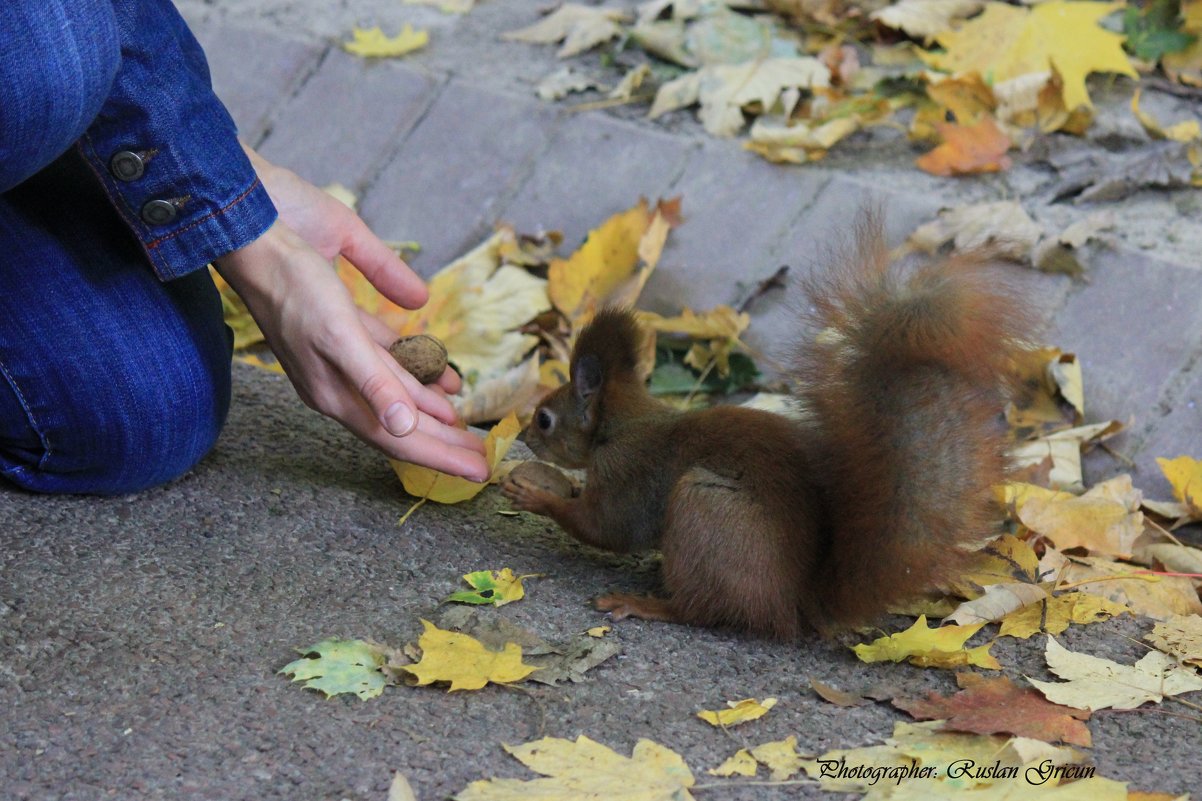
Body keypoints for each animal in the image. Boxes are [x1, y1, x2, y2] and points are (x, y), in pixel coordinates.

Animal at [500, 211, 1033, 635]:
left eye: (544, 418)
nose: (523, 436)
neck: (622, 422)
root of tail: (792, 602)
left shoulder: (625, 470)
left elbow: (606, 527)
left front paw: (538, 498)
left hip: (705, 509)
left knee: (703, 610)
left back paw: (646, 604)